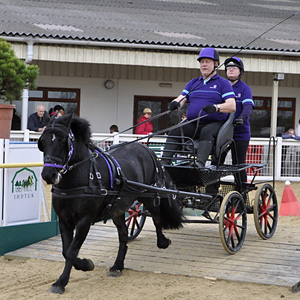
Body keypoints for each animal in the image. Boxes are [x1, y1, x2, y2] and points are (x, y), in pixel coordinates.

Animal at [37, 113, 183, 294]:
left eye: (63, 141)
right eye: (43, 142)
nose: (48, 174)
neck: (82, 177)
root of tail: (148, 150)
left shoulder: (84, 221)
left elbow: (71, 251)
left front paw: (61, 282)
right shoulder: (64, 220)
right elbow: (66, 251)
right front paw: (85, 265)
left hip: (149, 196)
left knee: (156, 218)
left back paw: (163, 242)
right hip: (118, 210)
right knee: (123, 235)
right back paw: (117, 266)